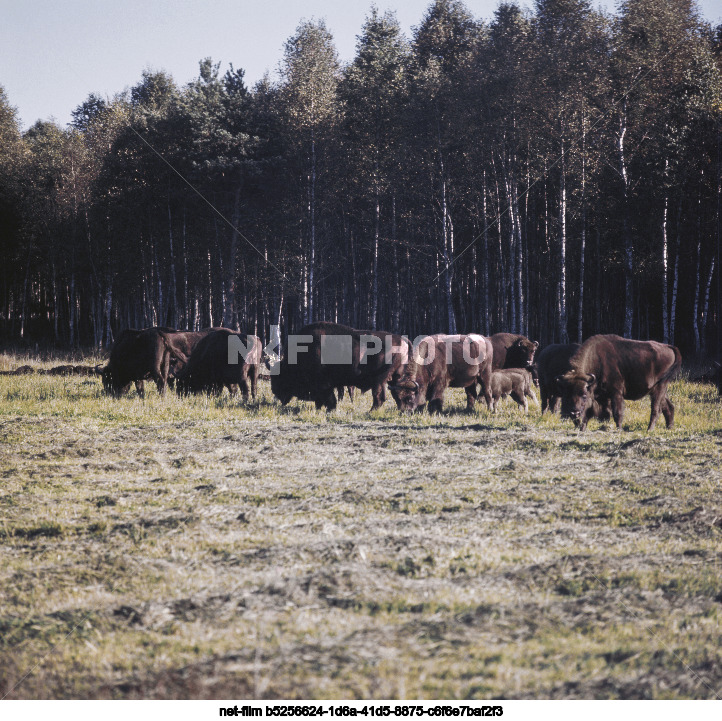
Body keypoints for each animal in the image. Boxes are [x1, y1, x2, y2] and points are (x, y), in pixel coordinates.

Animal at [268, 320, 408, 410]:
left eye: (280, 377)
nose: (275, 392)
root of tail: (402, 341)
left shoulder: (324, 385)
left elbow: (330, 399)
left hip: (379, 381)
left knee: (379, 397)